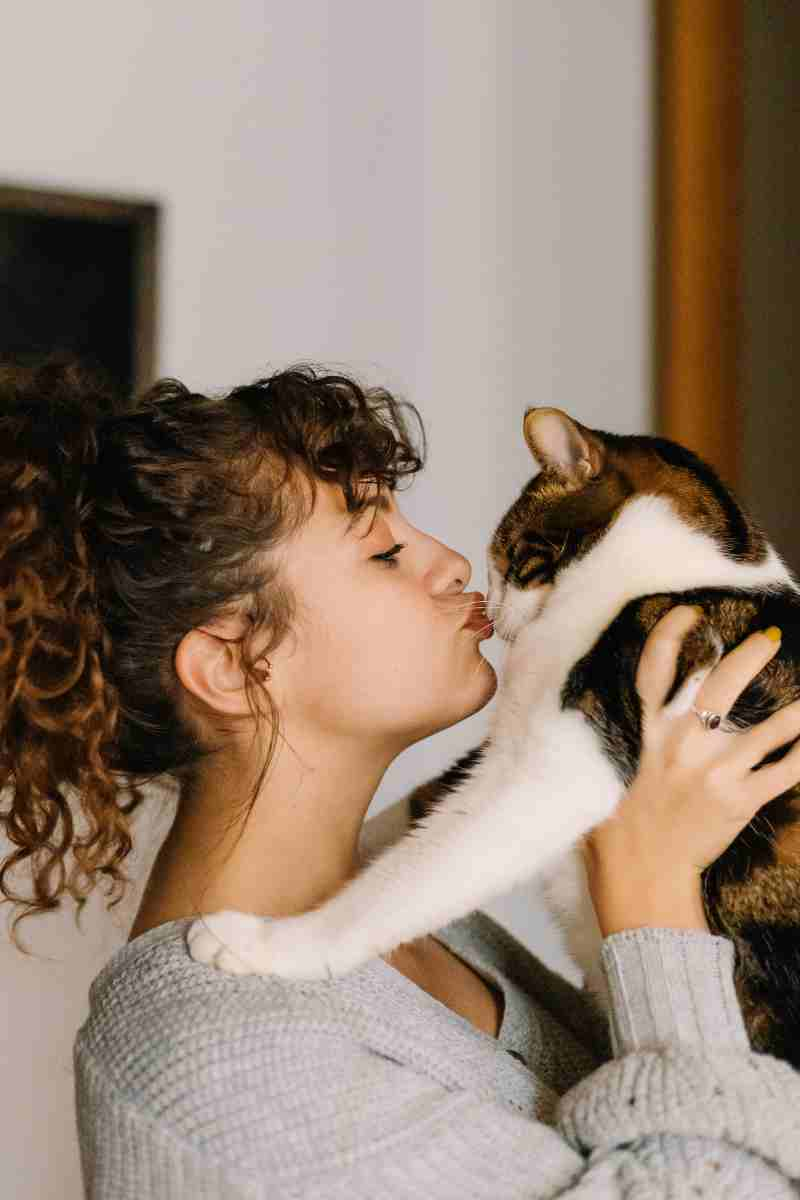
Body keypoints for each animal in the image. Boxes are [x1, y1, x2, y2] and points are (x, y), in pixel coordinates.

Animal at [185, 408, 800, 1065]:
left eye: (506, 555)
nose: (487, 602)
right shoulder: (506, 746)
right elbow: (428, 801)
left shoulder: (564, 763)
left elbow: (414, 873)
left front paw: (268, 943)